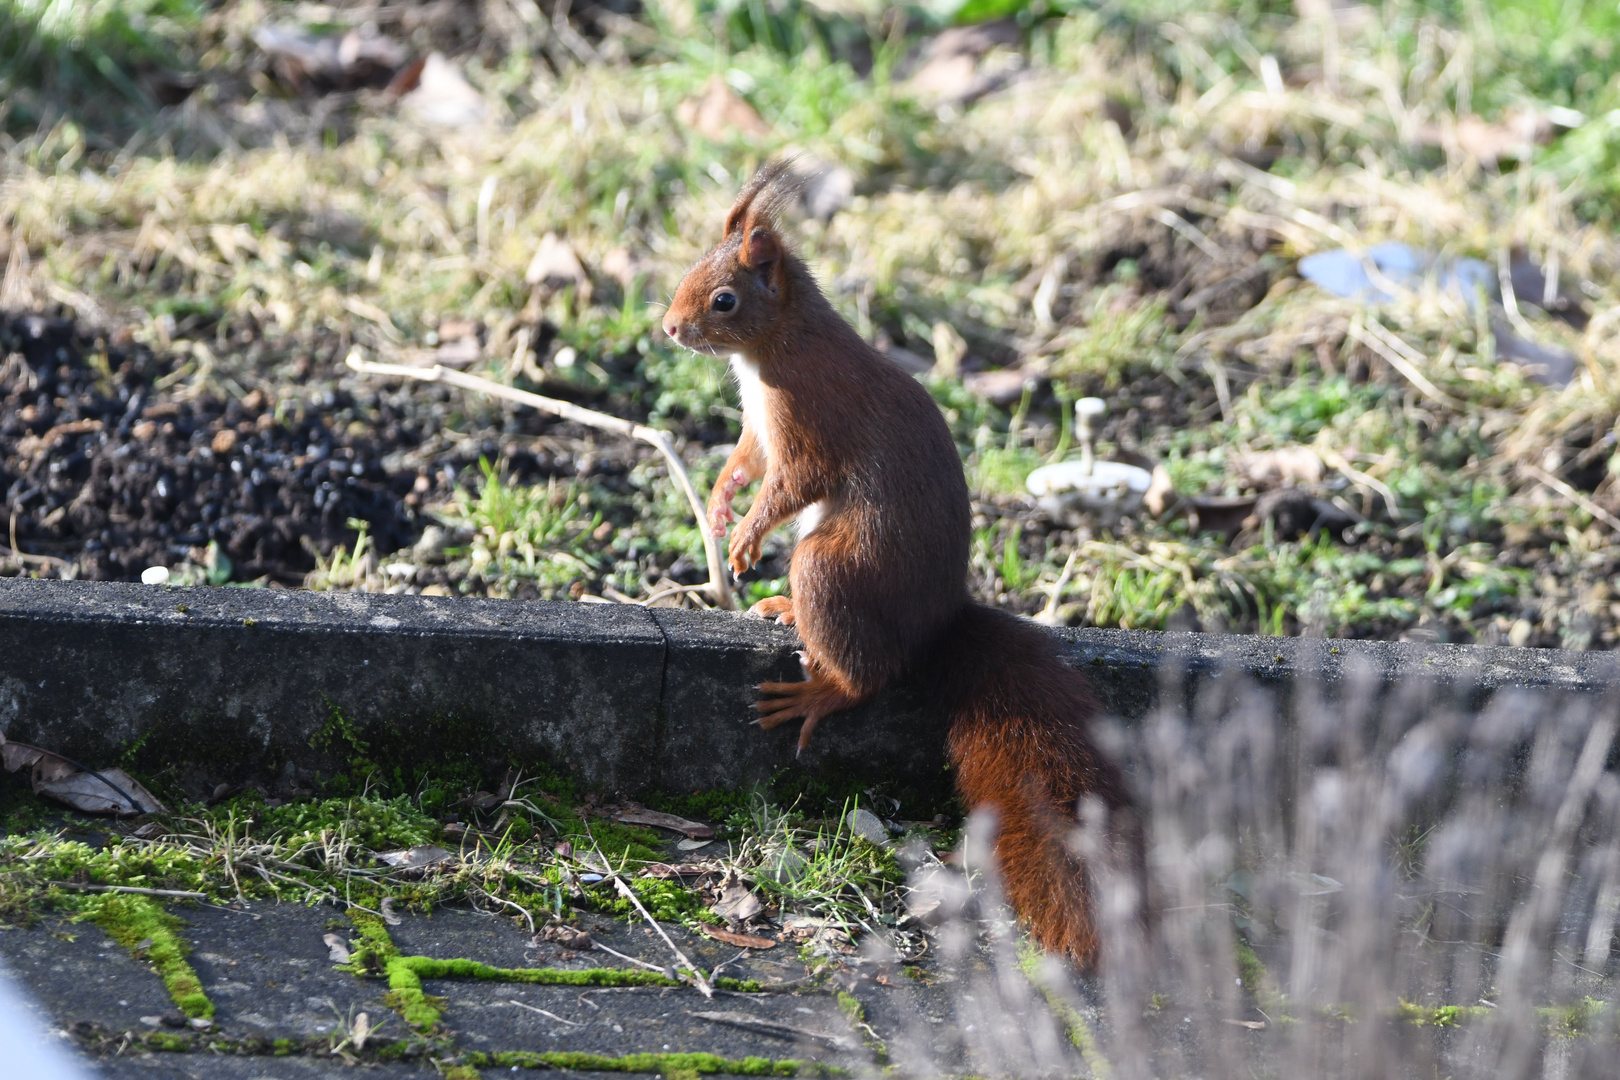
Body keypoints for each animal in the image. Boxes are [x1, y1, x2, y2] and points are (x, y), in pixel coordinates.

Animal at [657, 162, 1127, 965]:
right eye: (690, 271)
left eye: (724, 299)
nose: (669, 327)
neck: (779, 343)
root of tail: (937, 625)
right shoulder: (759, 427)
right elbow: (746, 460)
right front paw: (720, 504)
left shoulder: (810, 419)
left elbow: (791, 483)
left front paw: (747, 535)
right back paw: (783, 611)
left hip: (830, 567)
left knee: (866, 676)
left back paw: (816, 691)